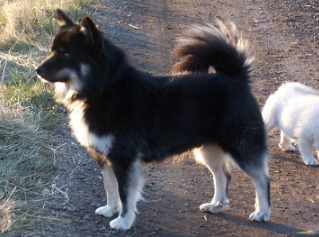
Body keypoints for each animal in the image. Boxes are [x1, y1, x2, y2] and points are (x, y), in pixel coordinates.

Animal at [36, 9, 272, 230]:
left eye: (65, 53)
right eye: (52, 50)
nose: (37, 69)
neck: (103, 89)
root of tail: (235, 78)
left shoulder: (123, 159)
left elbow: (125, 194)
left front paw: (123, 221)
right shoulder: (103, 156)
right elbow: (110, 187)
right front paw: (110, 209)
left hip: (240, 146)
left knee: (262, 179)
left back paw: (262, 212)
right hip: (208, 148)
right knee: (223, 175)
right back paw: (216, 204)